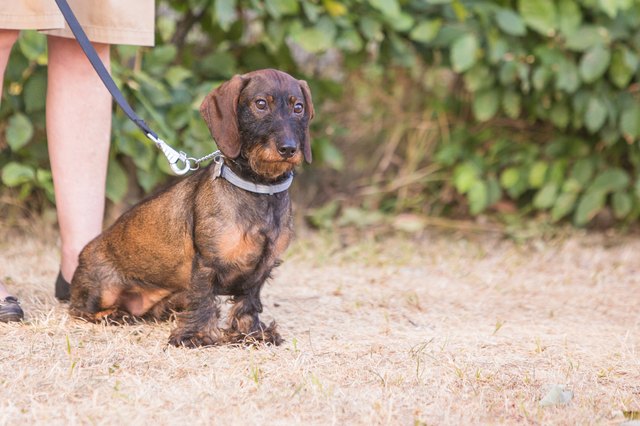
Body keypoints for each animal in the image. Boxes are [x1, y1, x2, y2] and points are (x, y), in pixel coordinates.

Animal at [69, 67, 316, 346]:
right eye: (261, 104)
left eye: (298, 107)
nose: (288, 148)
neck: (259, 187)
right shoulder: (207, 262)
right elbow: (203, 298)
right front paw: (195, 335)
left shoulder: (261, 269)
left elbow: (248, 302)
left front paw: (251, 333)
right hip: (104, 289)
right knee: (78, 309)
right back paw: (113, 314)